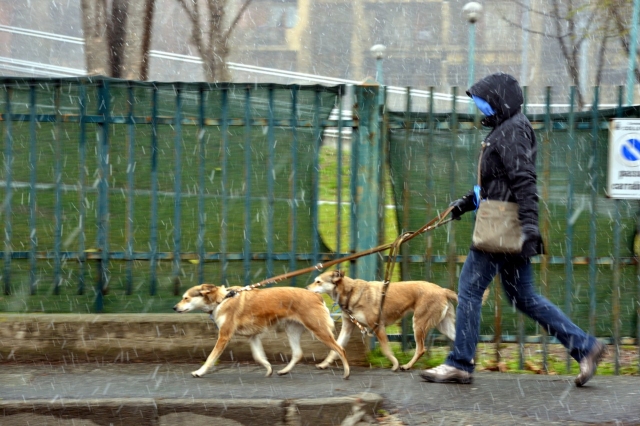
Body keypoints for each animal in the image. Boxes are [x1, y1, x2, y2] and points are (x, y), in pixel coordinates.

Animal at [174, 284, 350, 378]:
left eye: (186, 298)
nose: (174, 307)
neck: (221, 300)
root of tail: (317, 296)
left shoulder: (224, 336)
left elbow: (210, 358)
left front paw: (199, 372)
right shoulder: (253, 336)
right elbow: (259, 356)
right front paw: (268, 369)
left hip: (319, 330)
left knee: (340, 349)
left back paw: (346, 373)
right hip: (292, 329)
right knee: (298, 353)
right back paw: (284, 371)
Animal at [308, 272, 458, 372]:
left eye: (318, 281)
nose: (307, 288)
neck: (350, 292)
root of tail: (443, 290)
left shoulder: (378, 327)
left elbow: (386, 350)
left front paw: (395, 364)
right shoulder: (347, 328)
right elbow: (335, 349)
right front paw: (324, 364)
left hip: (419, 324)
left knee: (421, 349)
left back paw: (407, 366)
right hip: (445, 326)